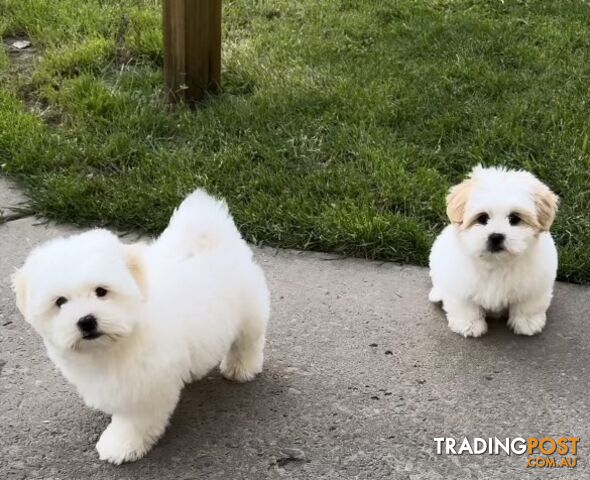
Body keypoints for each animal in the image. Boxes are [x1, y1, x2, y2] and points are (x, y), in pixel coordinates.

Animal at [13, 189, 272, 464]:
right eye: (60, 302)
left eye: (101, 291)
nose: (86, 320)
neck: (120, 338)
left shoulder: (146, 384)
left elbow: (135, 420)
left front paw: (120, 444)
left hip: (249, 312)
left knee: (248, 342)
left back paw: (241, 368)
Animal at [430, 167, 560, 340]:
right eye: (482, 217)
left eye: (514, 218)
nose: (496, 236)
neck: (497, 262)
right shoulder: (460, 284)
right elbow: (466, 306)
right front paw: (470, 325)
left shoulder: (535, 285)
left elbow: (528, 305)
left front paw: (527, 323)